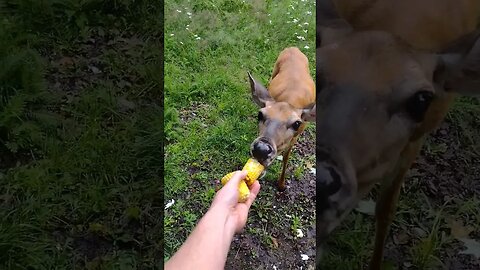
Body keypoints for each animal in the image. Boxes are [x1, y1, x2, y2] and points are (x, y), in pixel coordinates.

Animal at [246, 48, 316, 192]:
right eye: (260, 114)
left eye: (297, 123)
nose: (261, 149)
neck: (290, 99)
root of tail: (294, 48)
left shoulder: (295, 137)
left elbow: (286, 157)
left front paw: (282, 185)